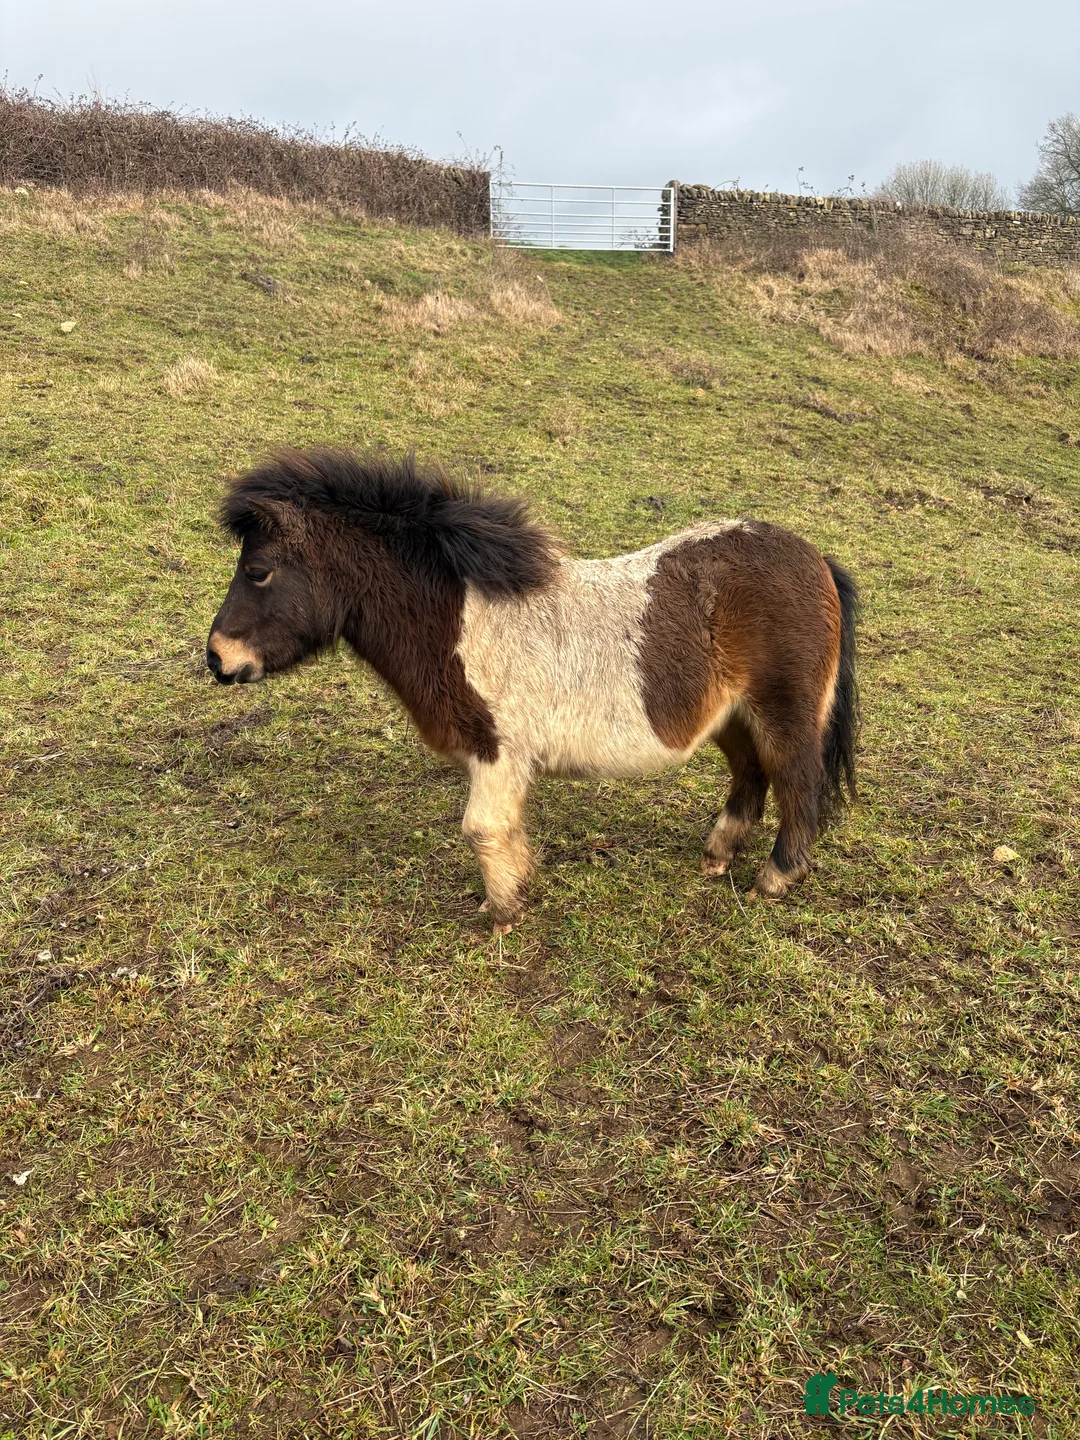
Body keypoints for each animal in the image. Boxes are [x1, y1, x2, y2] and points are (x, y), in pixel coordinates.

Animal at [206, 449, 859, 933]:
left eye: (258, 571)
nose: (217, 659)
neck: (459, 618)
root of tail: (816, 559)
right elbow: (506, 830)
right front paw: (515, 891)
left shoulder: (497, 751)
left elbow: (483, 829)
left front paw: (501, 913)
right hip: (732, 717)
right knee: (752, 774)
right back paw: (717, 856)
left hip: (782, 713)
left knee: (797, 781)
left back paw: (773, 879)